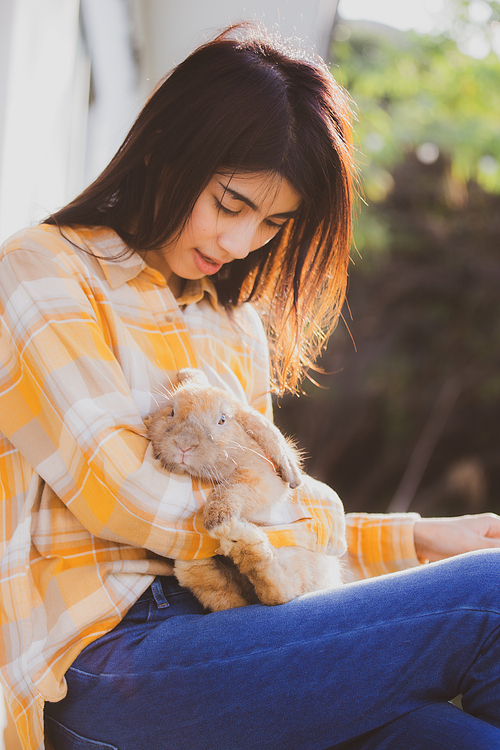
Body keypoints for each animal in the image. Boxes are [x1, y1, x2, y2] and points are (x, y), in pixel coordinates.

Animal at [144, 368, 340, 612]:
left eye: (222, 420)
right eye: (171, 411)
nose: (184, 445)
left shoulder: (261, 478)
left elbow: (233, 488)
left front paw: (218, 521)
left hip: (299, 558)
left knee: (279, 592)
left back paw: (239, 540)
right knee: (228, 595)